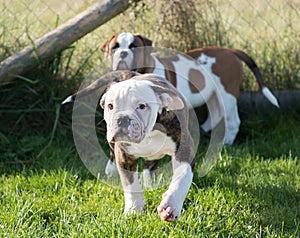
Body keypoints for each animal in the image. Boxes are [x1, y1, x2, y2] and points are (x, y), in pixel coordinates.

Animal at [102, 31, 280, 145]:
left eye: (134, 46)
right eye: (114, 47)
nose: (123, 53)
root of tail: (230, 51)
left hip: (227, 94)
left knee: (233, 120)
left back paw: (227, 143)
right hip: (213, 95)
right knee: (216, 115)